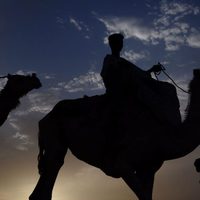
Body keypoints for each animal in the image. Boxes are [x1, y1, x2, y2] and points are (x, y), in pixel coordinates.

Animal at [28, 69, 199, 200]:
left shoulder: (149, 168)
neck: (164, 135)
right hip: (53, 133)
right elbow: (143, 195)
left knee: (52, 170)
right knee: (53, 163)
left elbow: (147, 195)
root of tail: (45, 117)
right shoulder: (123, 162)